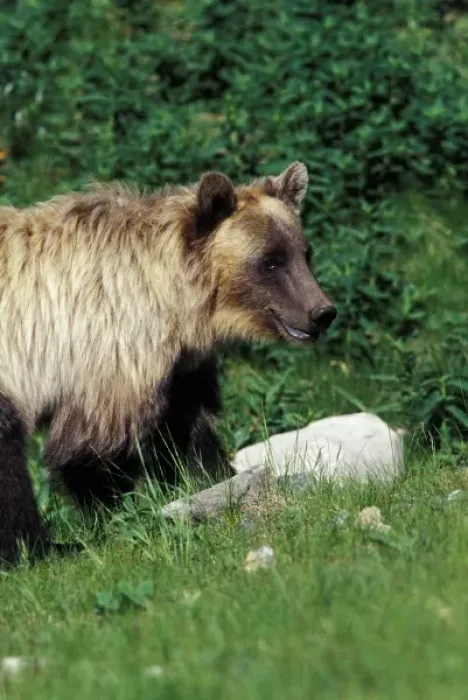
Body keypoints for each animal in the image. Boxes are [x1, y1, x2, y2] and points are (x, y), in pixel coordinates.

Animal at [0, 161, 336, 565]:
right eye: (270, 260)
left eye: (305, 252)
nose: (321, 313)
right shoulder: (110, 346)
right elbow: (91, 449)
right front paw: (115, 517)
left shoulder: (179, 366)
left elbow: (187, 427)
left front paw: (216, 480)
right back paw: (41, 549)